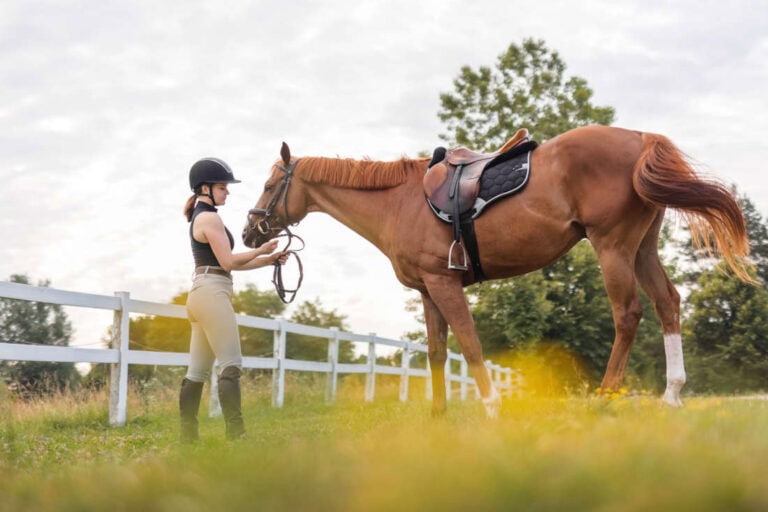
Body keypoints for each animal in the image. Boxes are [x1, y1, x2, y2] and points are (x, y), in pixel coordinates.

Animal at [242, 125, 752, 418]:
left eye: (269, 185)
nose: (249, 232)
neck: (400, 202)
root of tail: (639, 138)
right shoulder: (428, 292)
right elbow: (436, 354)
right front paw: (438, 417)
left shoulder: (445, 283)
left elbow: (469, 345)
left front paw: (490, 408)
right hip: (642, 248)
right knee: (668, 303)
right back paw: (672, 394)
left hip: (613, 247)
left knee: (627, 314)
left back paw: (605, 398)